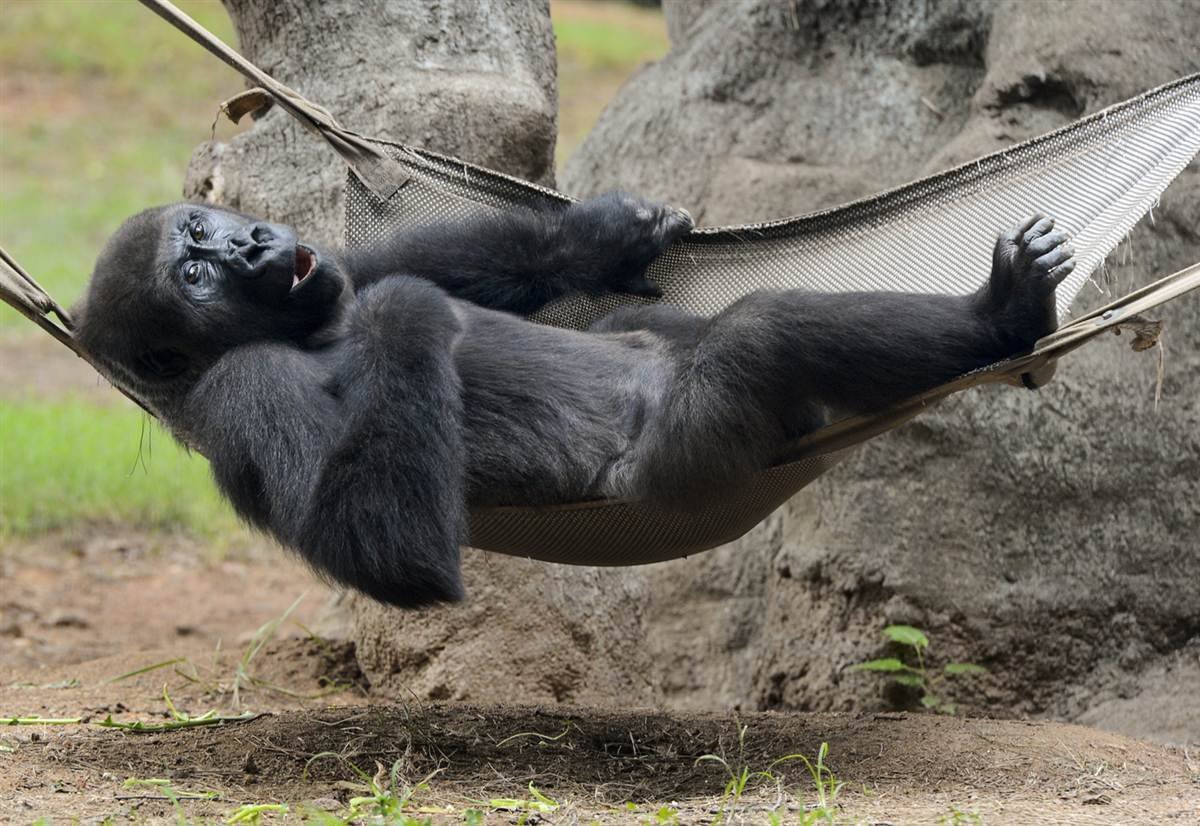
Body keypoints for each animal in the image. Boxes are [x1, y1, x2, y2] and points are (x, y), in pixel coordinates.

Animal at [74, 193, 1074, 607]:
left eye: (206, 228)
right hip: (691, 455)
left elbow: (392, 267)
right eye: (193, 273)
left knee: (671, 331)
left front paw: (598, 239)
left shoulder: (332, 271)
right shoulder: (242, 390)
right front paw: (404, 315)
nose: (249, 245)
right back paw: (1001, 316)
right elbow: (384, 550)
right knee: (766, 336)